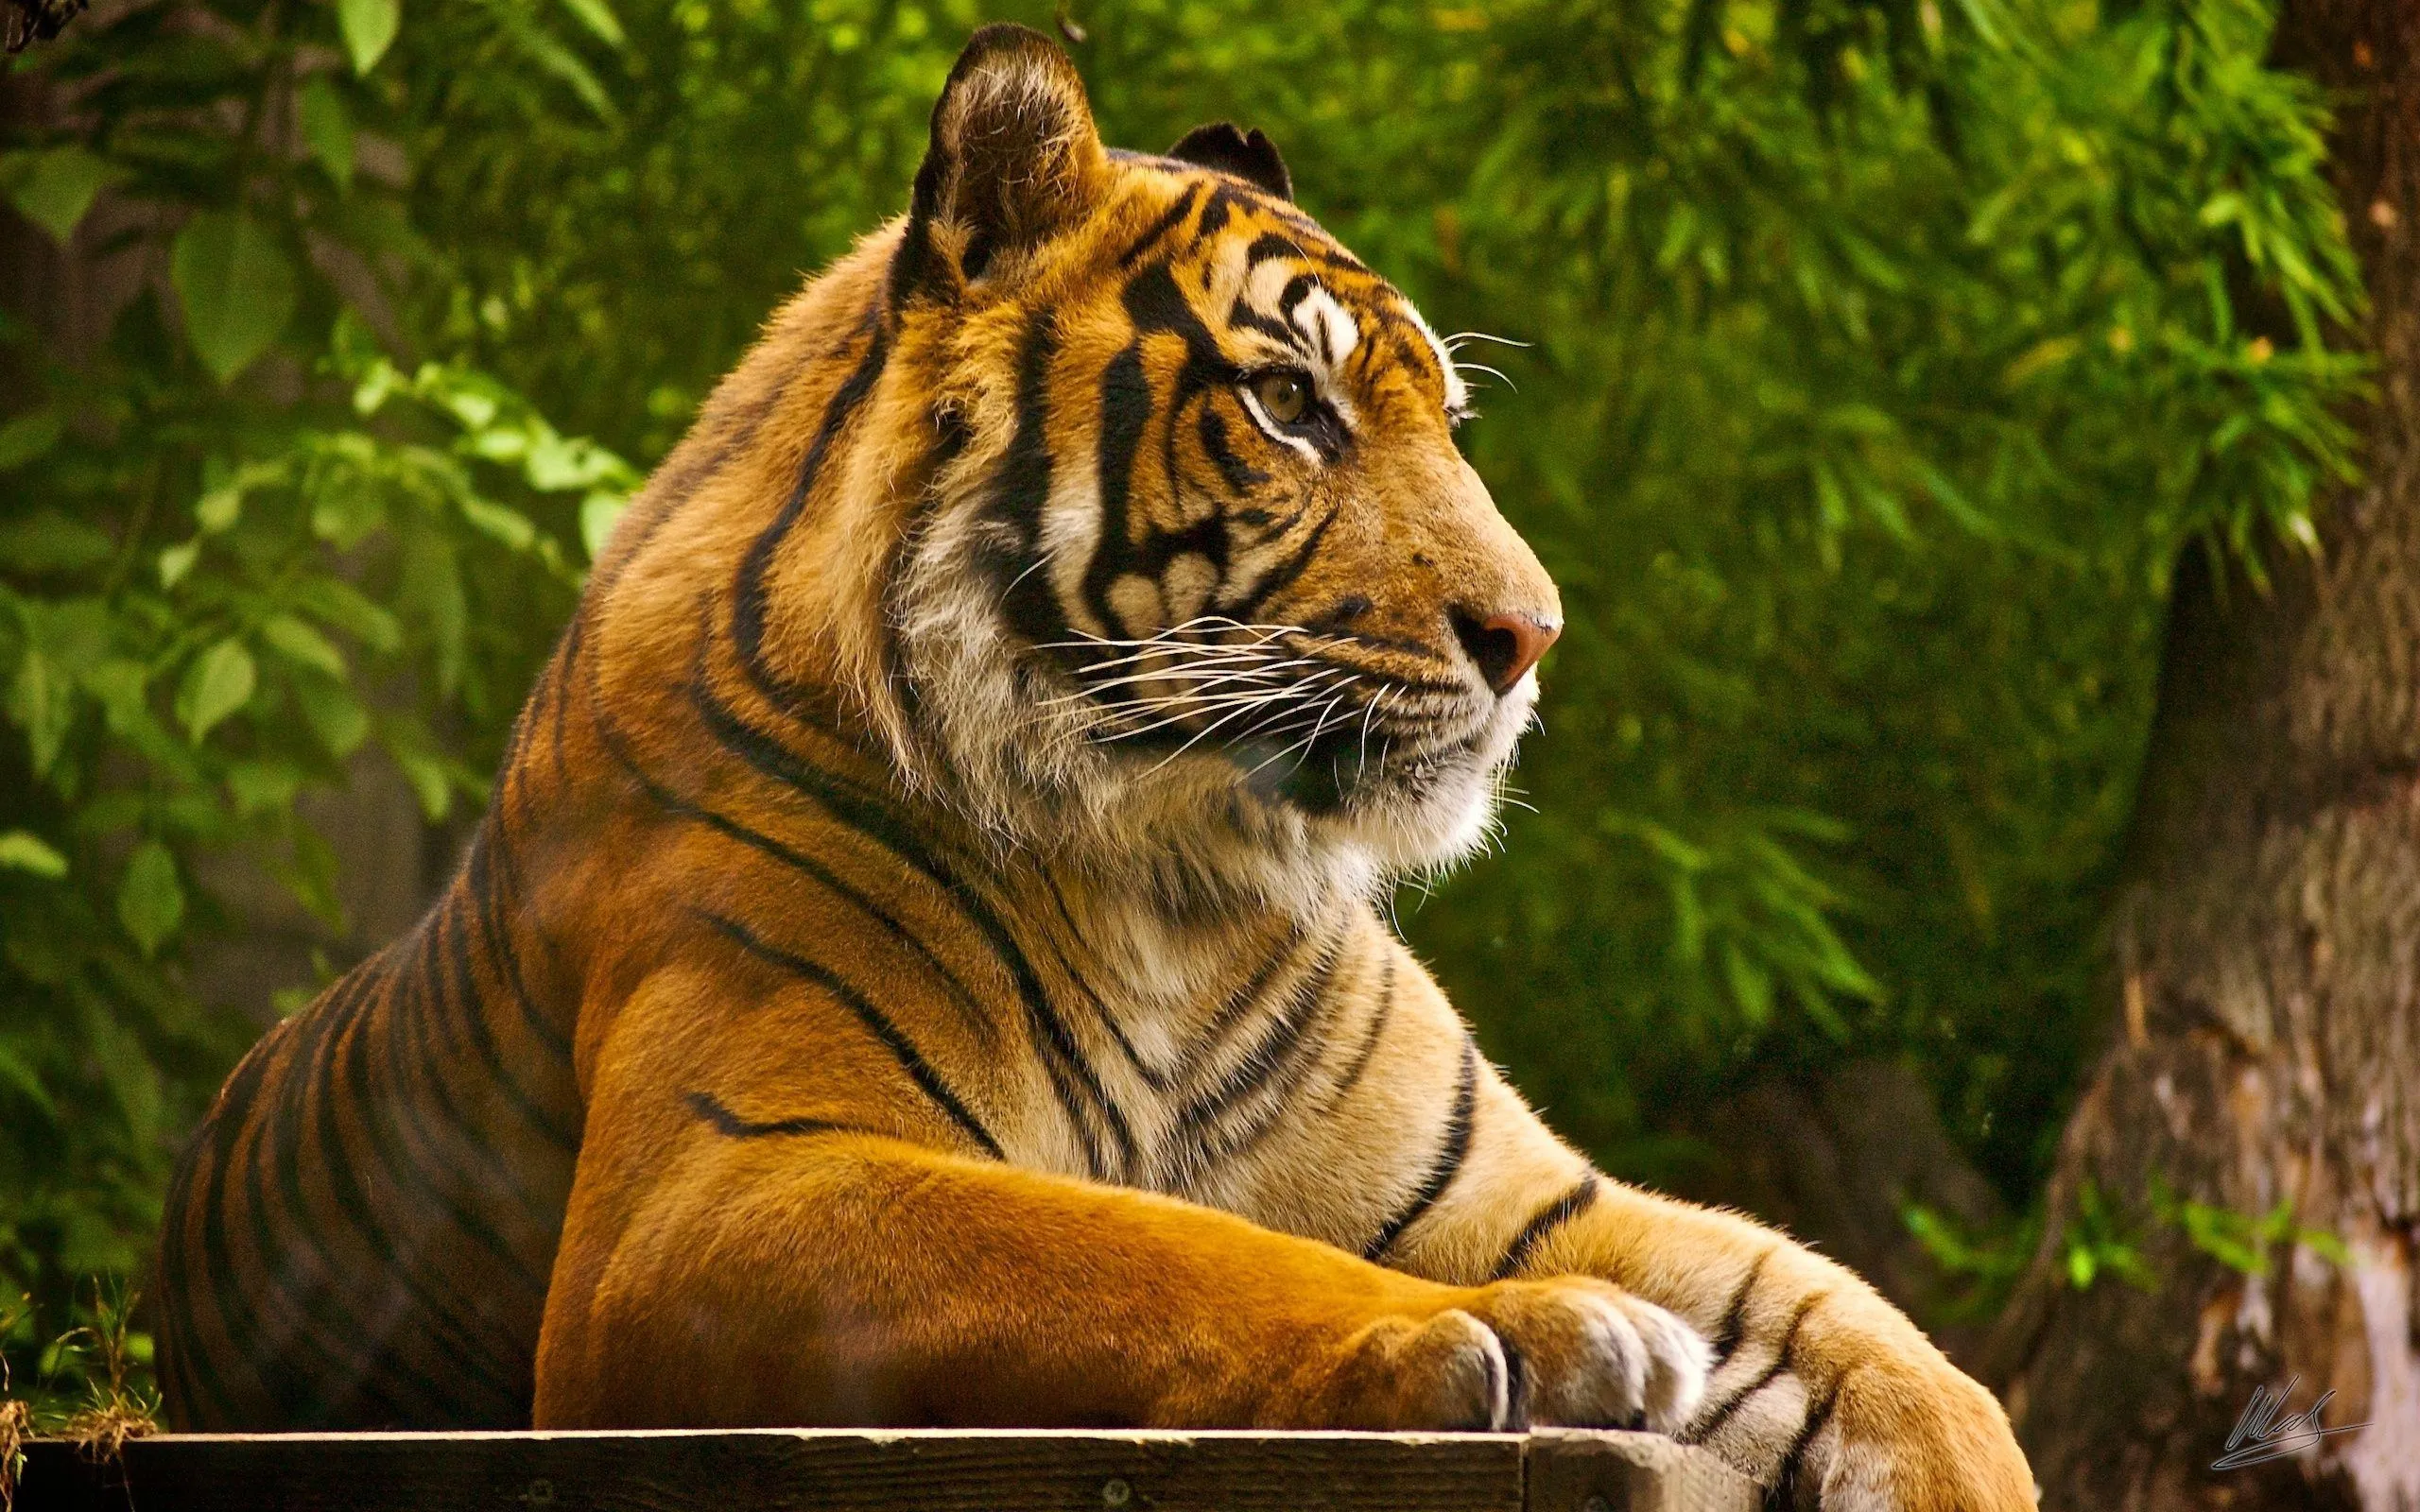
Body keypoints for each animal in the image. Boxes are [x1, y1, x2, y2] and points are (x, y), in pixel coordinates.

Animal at [154, 24, 2034, 1509]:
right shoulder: (715, 1191)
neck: (1176, 877)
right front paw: (1494, 1334)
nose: (1533, 635)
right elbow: (1165, 1247)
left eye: (1443, 420)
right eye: (1290, 407)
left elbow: (1873, 1334)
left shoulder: (1520, 1187)